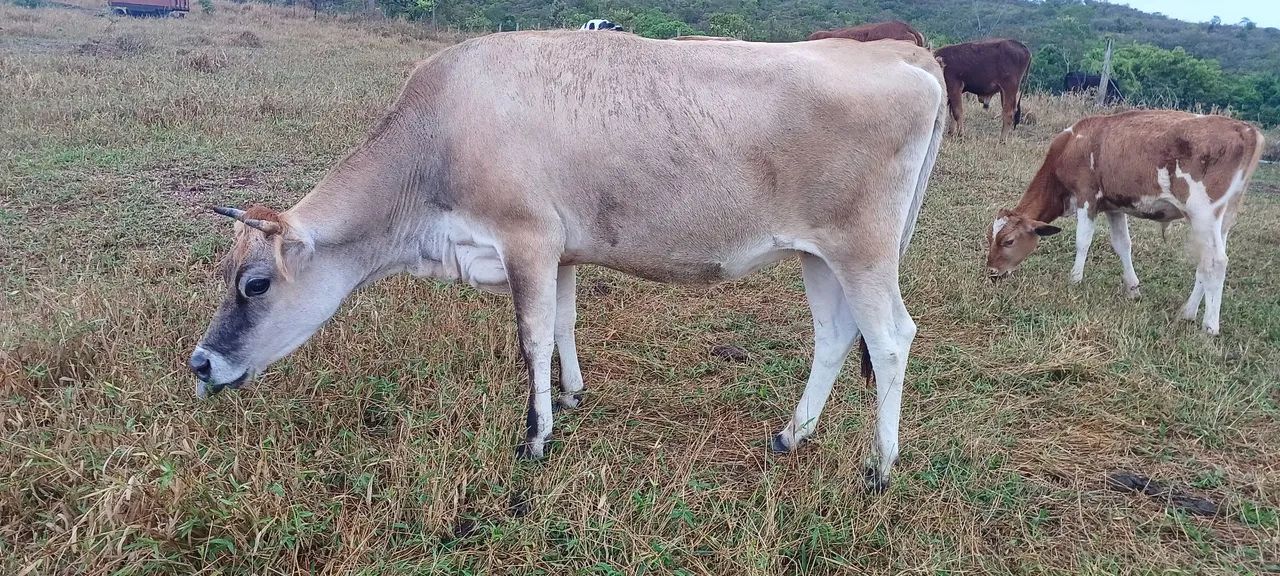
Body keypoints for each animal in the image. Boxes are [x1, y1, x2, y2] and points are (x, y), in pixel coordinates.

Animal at [188, 32, 948, 491]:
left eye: (255, 284)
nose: (200, 364)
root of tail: (902, 55)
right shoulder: (562, 251)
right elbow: (563, 324)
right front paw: (573, 395)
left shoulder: (526, 238)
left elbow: (530, 338)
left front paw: (536, 436)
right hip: (818, 253)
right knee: (834, 335)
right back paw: (791, 435)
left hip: (865, 248)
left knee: (891, 337)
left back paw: (879, 468)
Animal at [985, 110, 1265, 335]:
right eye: (990, 237)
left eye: (1008, 240)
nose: (992, 272)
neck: (1070, 146)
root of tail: (1247, 130)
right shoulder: (1113, 206)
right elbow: (1122, 245)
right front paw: (1132, 288)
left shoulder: (1087, 196)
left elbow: (1082, 241)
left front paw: (1075, 280)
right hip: (1223, 217)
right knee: (1205, 262)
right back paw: (1188, 312)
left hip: (1204, 212)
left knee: (1216, 262)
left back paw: (1210, 326)